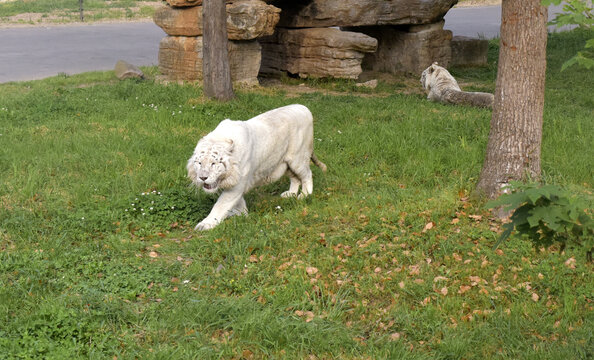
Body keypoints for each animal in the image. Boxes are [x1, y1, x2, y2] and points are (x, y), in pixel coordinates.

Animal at [186, 103, 326, 231]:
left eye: (214, 163)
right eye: (199, 163)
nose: (203, 178)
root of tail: (304, 107)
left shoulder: (237, 183)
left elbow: (221, 204)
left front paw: (205, 224)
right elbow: (237, 202)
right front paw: (241, 214)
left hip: (297, 158)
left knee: (307, 174)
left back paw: (305, 195)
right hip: (286, 163)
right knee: (295, 178)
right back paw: (290, 194)